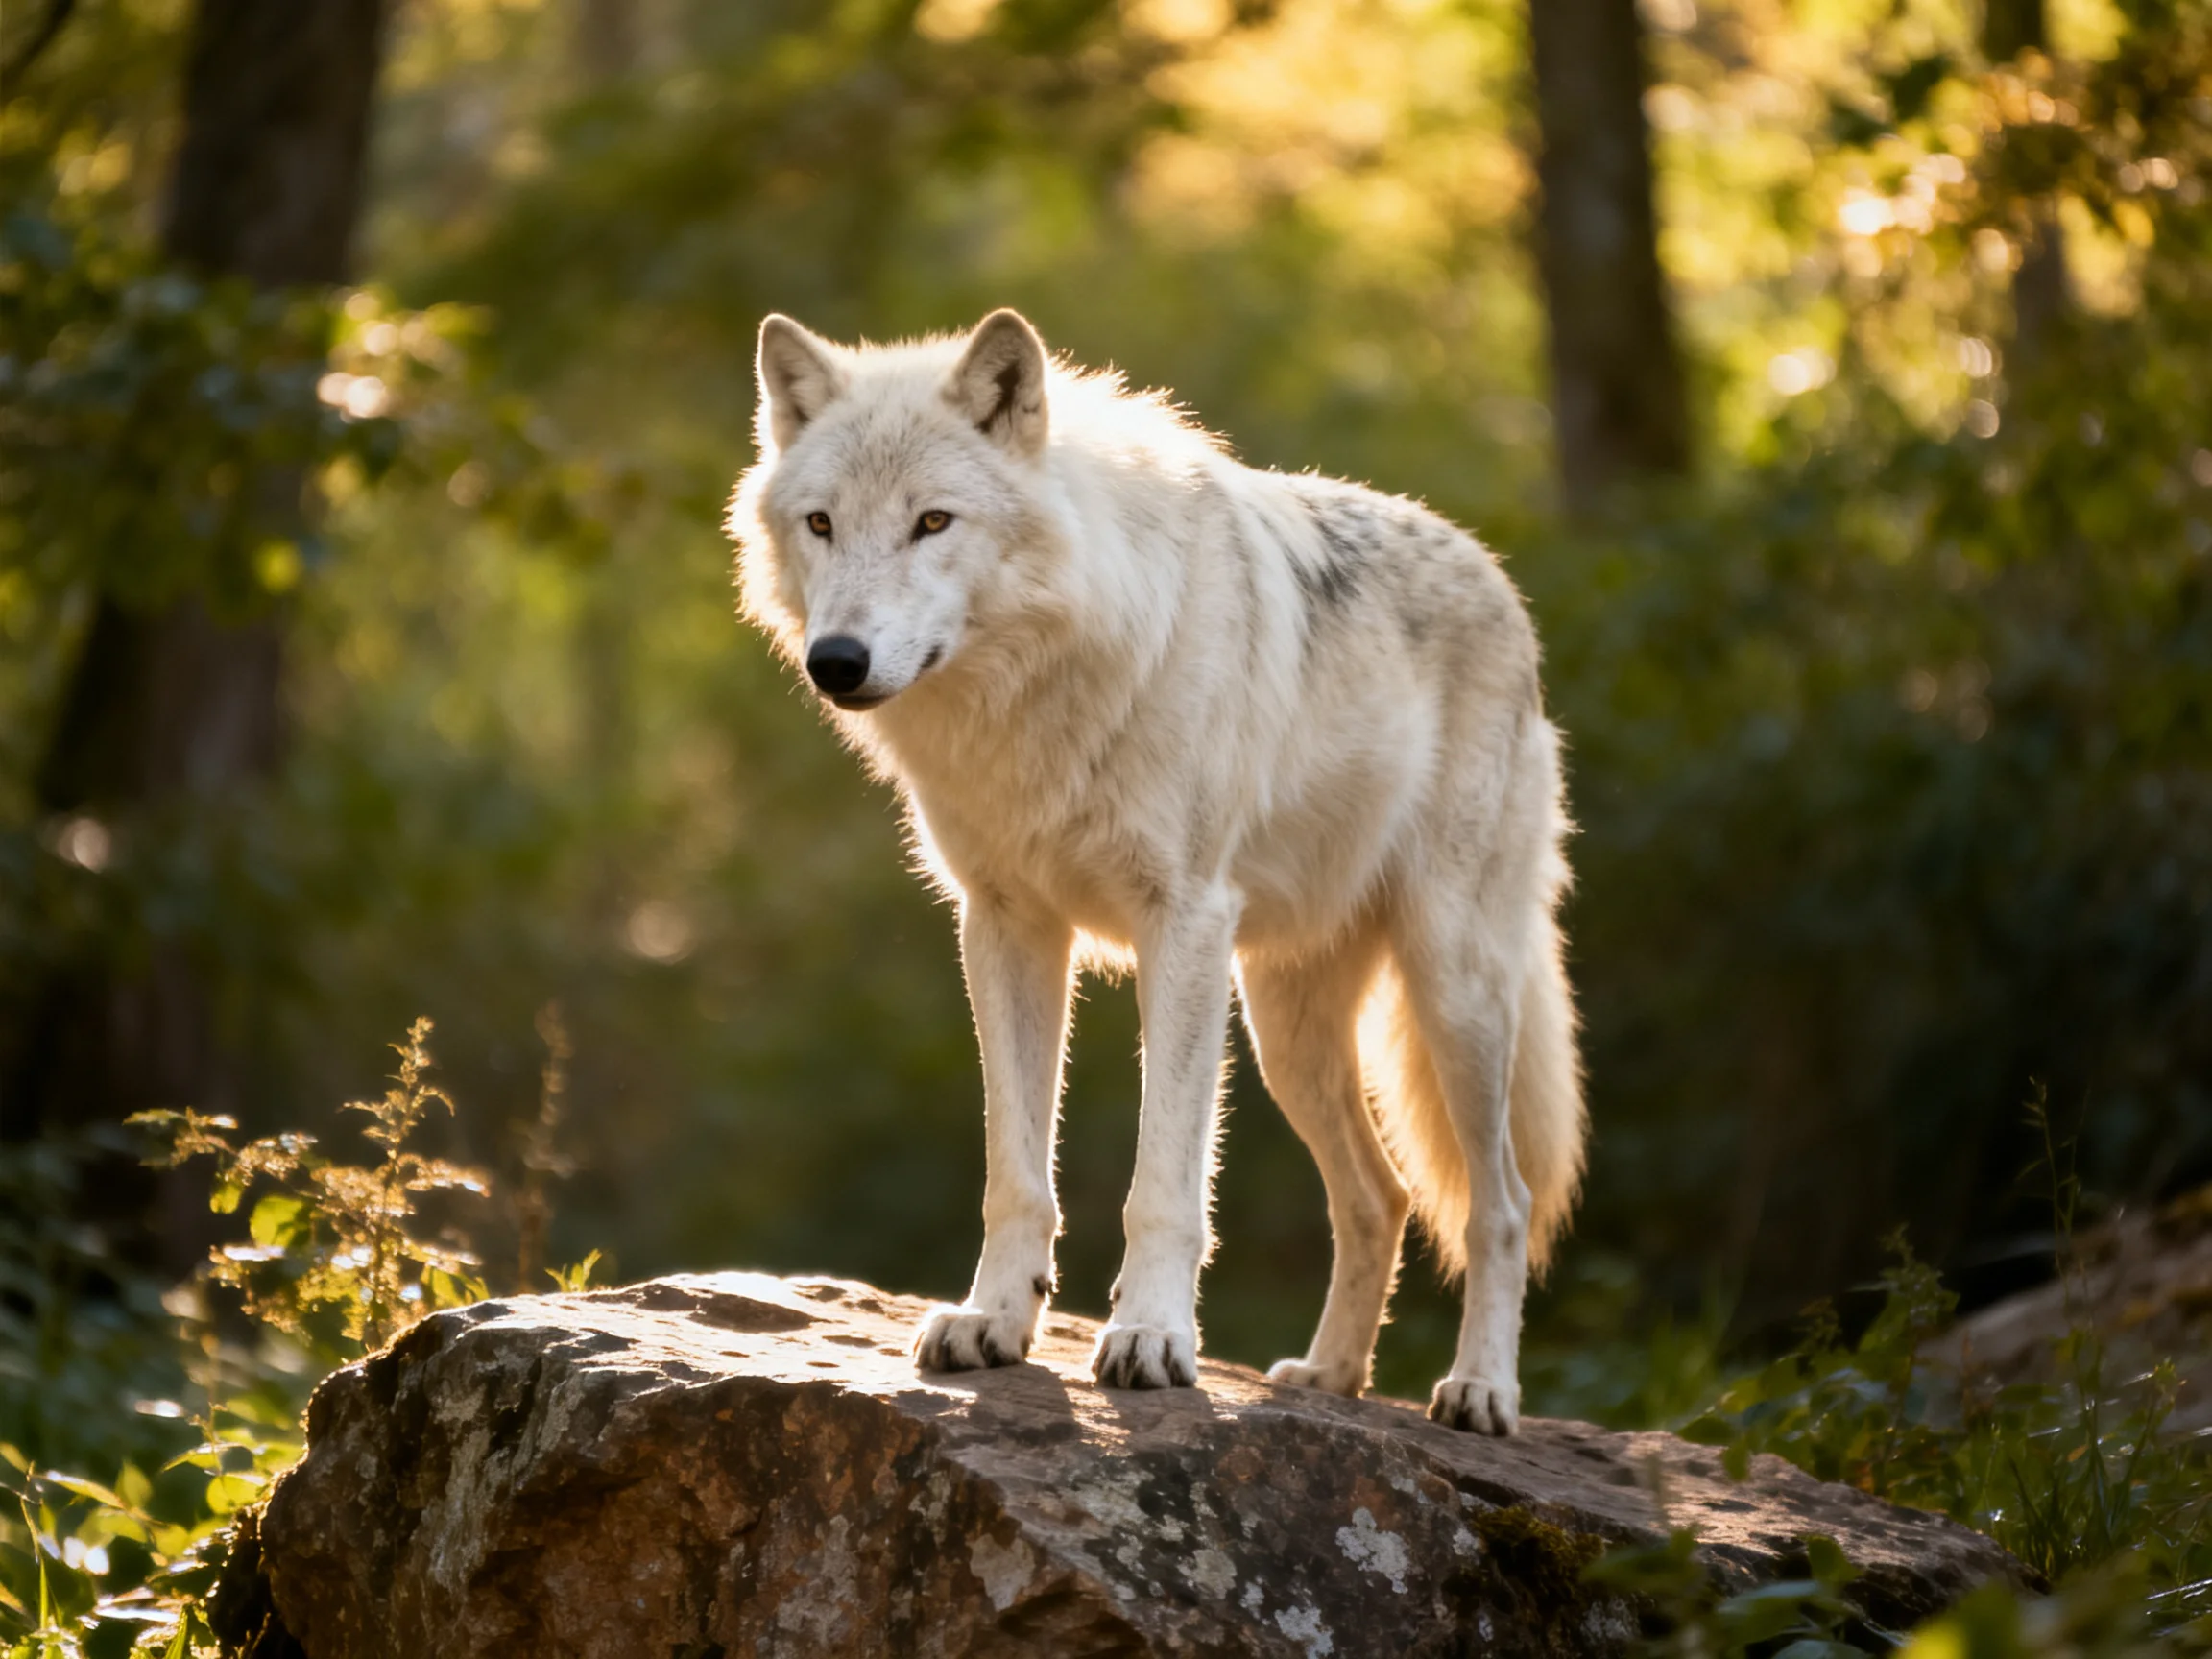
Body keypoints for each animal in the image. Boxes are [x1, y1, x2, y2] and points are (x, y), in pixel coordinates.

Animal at [727, 308, 1584, 1433]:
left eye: (933, 522)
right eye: (823, 523)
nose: (837, 661)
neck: (1038, 691)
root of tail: (1503, 584)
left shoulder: (1181, 925)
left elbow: (1165, 1182)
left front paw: (1151, 1339)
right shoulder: (1004, 927)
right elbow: (1015, 1168)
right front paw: (992, 1321)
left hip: (1452, 992)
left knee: (1501, 1205)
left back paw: (1481, 1390)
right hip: (1282, 1033)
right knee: (1380, 1197)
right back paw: (1331, 1377)